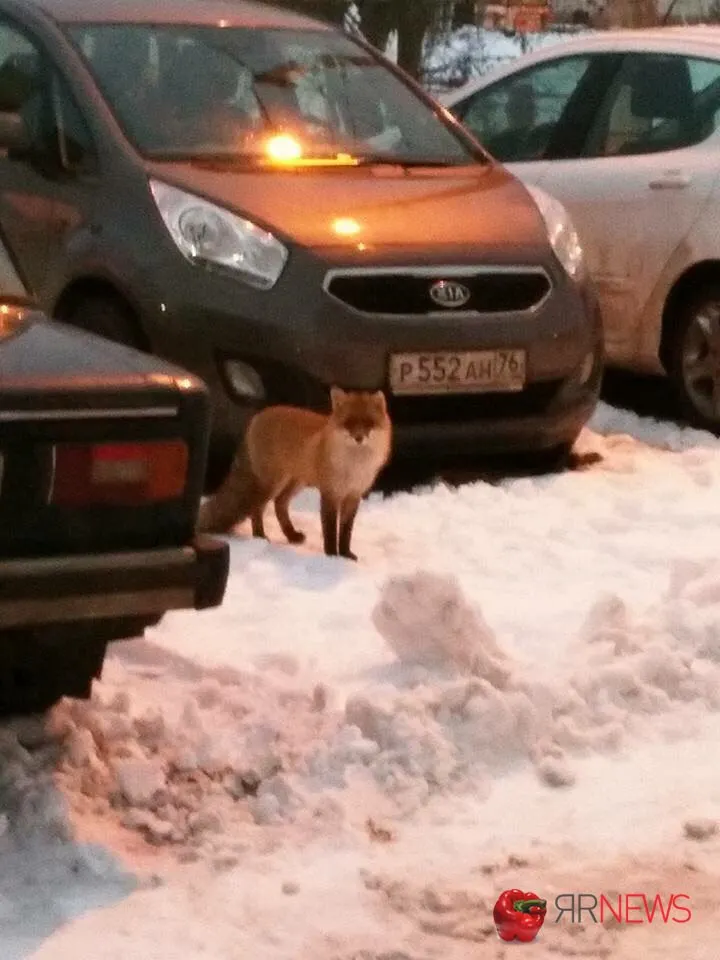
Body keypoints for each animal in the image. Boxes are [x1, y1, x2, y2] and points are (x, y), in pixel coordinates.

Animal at [196, 387, 392, 561]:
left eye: (368, 423)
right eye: (348, 423)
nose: (358, 438)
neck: (354, 466)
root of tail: (257, 416)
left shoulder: (353, 495)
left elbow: (345, 532)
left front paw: (345, 555)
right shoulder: (330, 493)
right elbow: (330, 530)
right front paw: (331, 556)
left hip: (295, 482)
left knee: (279, 504)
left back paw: (291, 535)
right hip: (272, 484)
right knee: (257, 509)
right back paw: (260, 536)